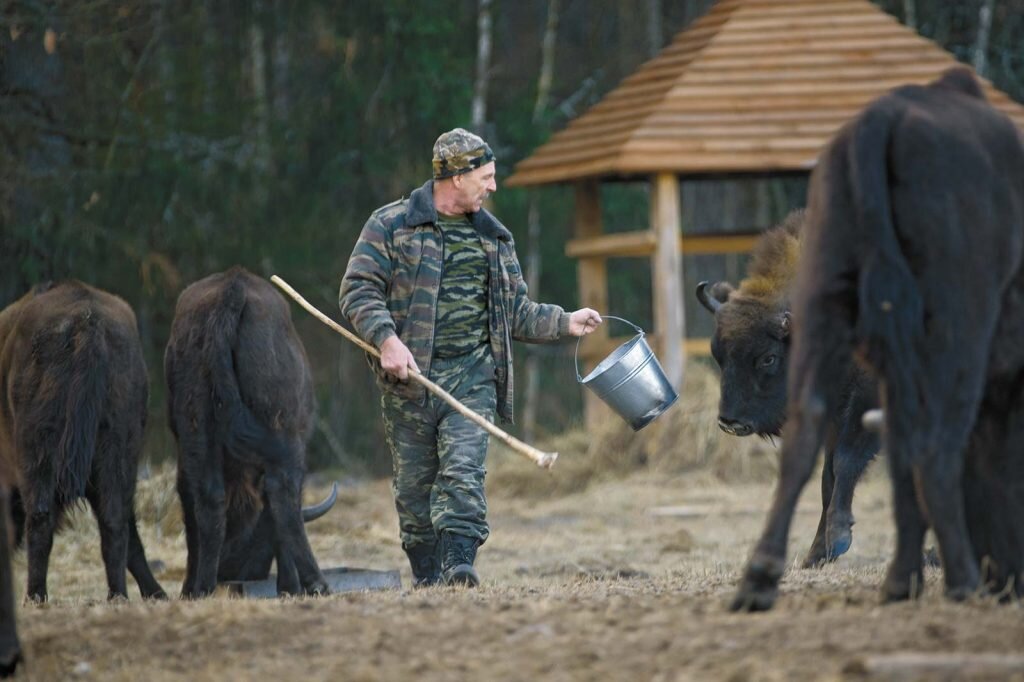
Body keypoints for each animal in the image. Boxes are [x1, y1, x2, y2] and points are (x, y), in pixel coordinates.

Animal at [0, 280, 165, 602]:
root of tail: (86, 323)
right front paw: (156, 593)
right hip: (118, 448)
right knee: (115, 522)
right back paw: (119, 595)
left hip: (37, 450)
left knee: (40, 518)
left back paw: (35, 595)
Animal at [165, 266, 329, 593]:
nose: (231, 570)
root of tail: (233, 289)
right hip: (283, 439)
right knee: (283, 496)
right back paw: (312, 583)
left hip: (196, 430)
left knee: (207, 500)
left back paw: (201, 588)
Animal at [696, 210, 880, 561]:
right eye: (717, 354)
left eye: (768, 358)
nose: (730, 422)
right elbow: (827, 476)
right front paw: (817, 553)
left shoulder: (867, 401)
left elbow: (845, 460)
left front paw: (838, 538)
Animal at [729, 66, 1024, 610]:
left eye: (766, 360)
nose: (729, 419)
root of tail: (878, 127)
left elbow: (840, 468)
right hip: (954, 342)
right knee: (935, 447)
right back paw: (958, 580)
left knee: (805, 446)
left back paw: (767, 579)